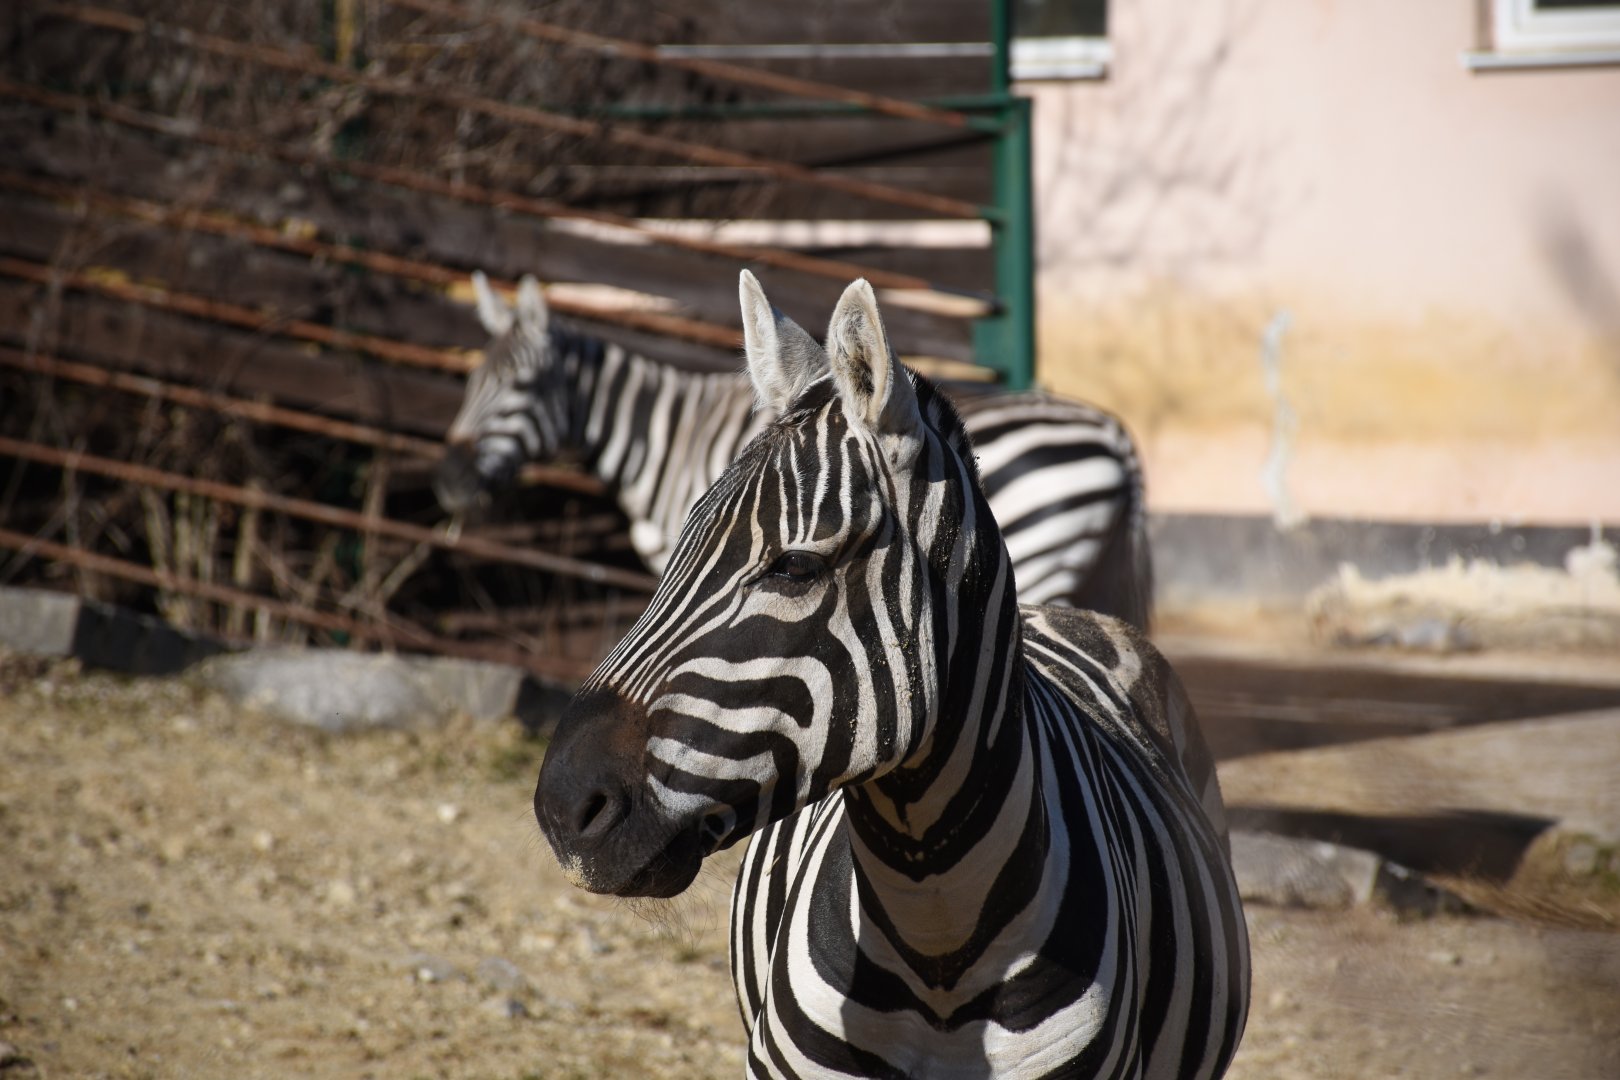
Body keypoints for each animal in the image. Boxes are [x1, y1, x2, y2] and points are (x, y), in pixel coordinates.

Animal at [435, 272, 1152, 627]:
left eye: (523, 386)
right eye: (468, 382)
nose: (451, 482)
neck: (667, 435)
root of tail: (1117, 433)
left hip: (1041, 555)